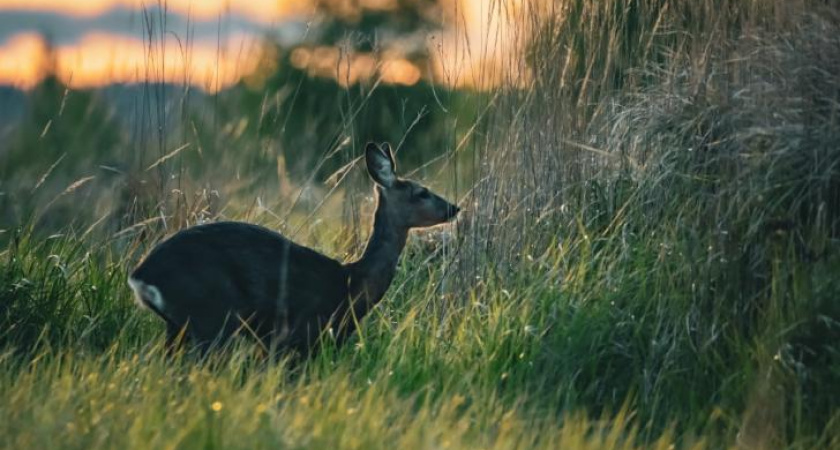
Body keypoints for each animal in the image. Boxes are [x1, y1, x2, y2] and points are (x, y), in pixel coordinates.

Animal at [128, 142, 462, 356]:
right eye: (421, 192)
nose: (454, 207)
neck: (351, 285)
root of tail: (141, 276)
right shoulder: (300, 335)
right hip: (211, 315)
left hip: (179, 326)